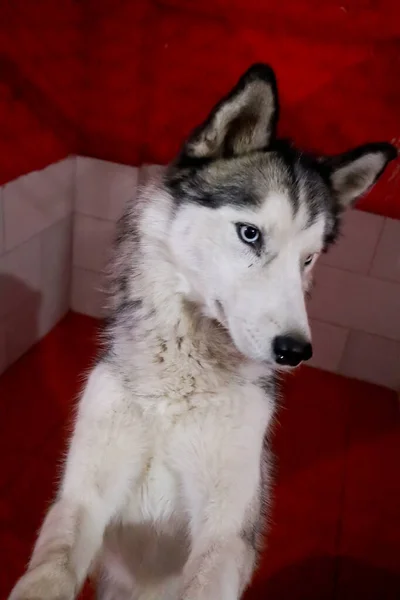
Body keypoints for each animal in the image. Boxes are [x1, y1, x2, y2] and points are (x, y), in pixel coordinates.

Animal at [9, 64, 396, 600]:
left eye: (308, 259)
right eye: (250, 233)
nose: (295, 350)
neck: (179, 389)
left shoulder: (227, 535)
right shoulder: (83, 495)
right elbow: (54, 563)